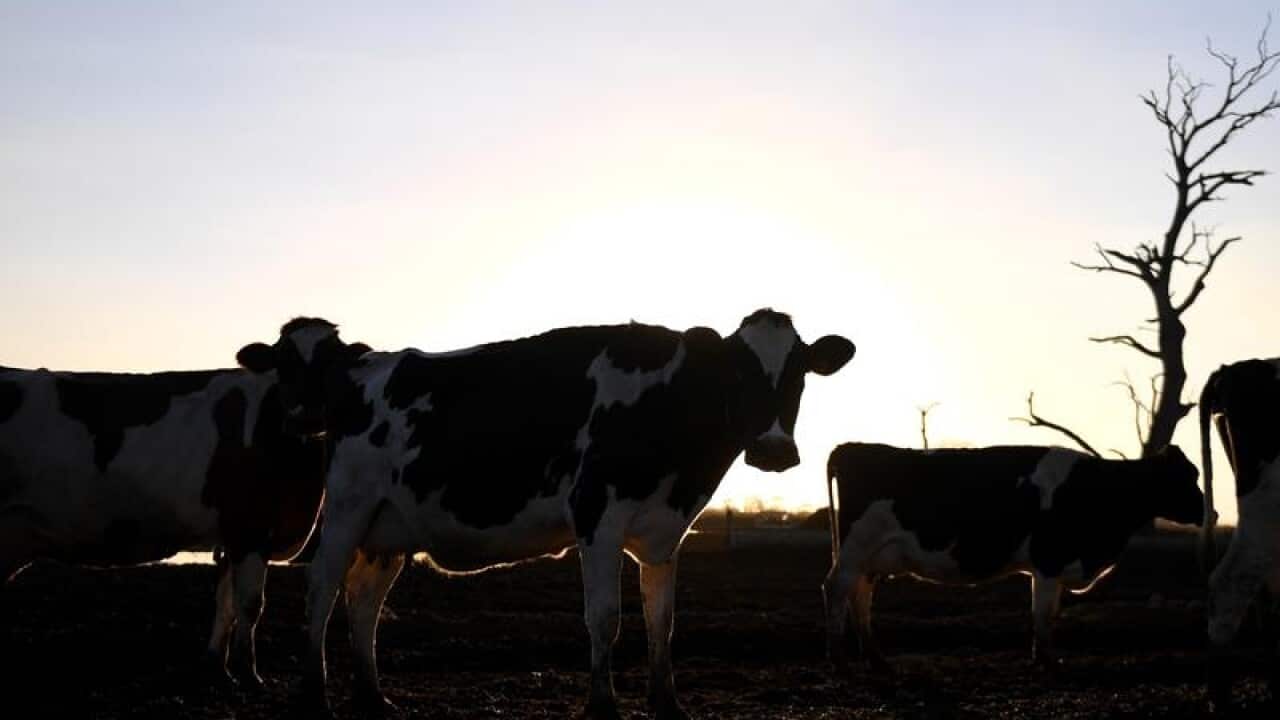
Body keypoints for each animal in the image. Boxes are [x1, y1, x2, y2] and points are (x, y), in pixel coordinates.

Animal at [0, 363, 329, 689]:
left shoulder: (231, 537)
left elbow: (226, 604)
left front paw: (218, 668)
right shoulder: (251, 529)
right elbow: (250, 604)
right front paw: (250, 675)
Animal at [235, 310, 855, 719]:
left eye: (799, 373)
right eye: (737, 373)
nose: (773, 450)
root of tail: (361, 366)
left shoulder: (665, 532)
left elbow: (662, 619)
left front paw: (668, 705)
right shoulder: (597, 515)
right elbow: (605, 617)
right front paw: (602, 709)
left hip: (388, 529)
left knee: (363, 601)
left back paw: (374, 698)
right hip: (347, 508)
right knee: (320, 590)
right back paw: (314, 697)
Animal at [821, 442, 1204, 675]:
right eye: (1187, 477)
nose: (1209, 511)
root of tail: (853, 447)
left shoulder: (1048, 569)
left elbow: (1046, 615)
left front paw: (1042, 659)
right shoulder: (1049, 561)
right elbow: (1044, 615)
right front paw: (1050, 663)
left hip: (870, 558)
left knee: (861, 597)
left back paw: (877, 661)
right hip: (855, 549)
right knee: (837, 590)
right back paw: (840, 663)